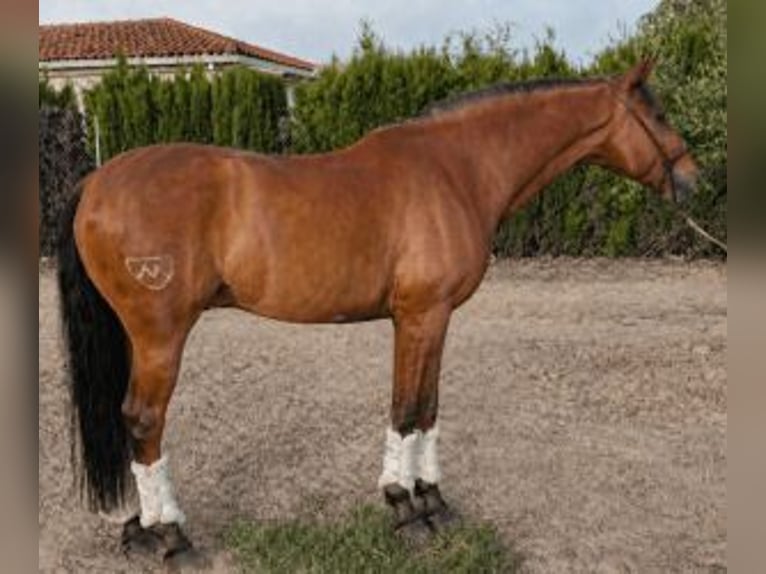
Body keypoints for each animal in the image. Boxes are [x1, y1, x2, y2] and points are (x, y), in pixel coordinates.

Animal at [56, 60, 698, 566]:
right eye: (660, 113)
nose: (695, 179)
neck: (457, 169)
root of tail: (95, 181)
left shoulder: (432, 319)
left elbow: (428, 407)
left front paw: (434, 501)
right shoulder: (420, 316)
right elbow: (407, 409)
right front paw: (405, 509)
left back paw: (140, 528)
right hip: (160, 335)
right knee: (144, 420)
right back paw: (172, 536)